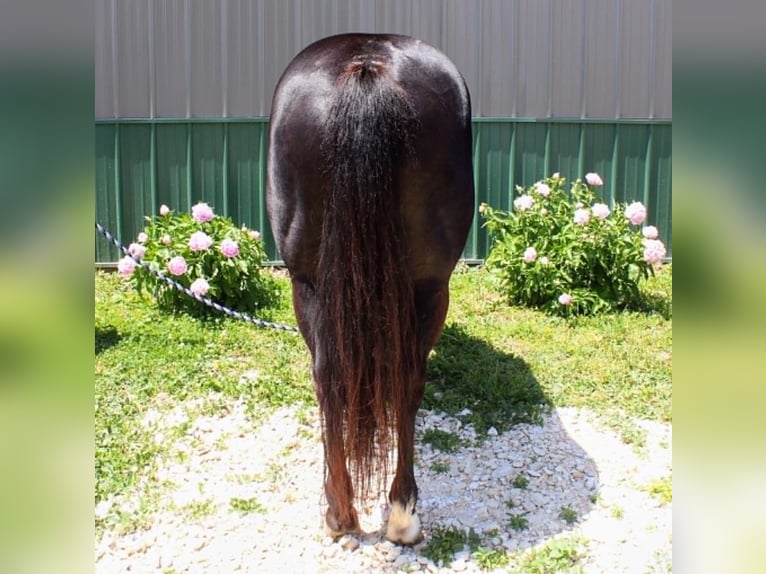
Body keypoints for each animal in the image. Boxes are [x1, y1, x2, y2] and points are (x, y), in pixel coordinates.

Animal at [266, 33, 474, 545]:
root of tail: (367, 66)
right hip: (424, 288)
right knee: (384, 380)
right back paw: (384, 514)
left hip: (312, 285)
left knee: (337, 378)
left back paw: (361, 514)